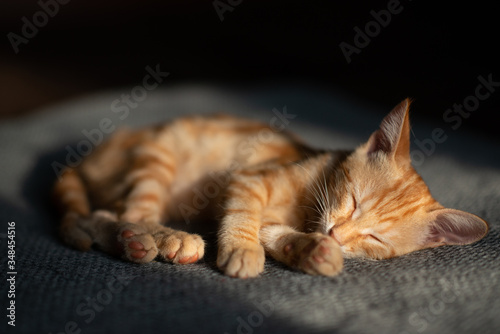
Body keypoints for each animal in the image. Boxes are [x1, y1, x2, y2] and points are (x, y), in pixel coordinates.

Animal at [53, 98, 488, 276]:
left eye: (375, 239)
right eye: (353, 200)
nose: (336, 233)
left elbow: (274, 232)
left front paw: (314, 251)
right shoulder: (249, 179)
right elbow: (244, 215)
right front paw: (242, 250)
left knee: (98, 215)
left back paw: (128, 241)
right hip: (158, 155)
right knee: (131, 211)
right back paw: (164, 238)